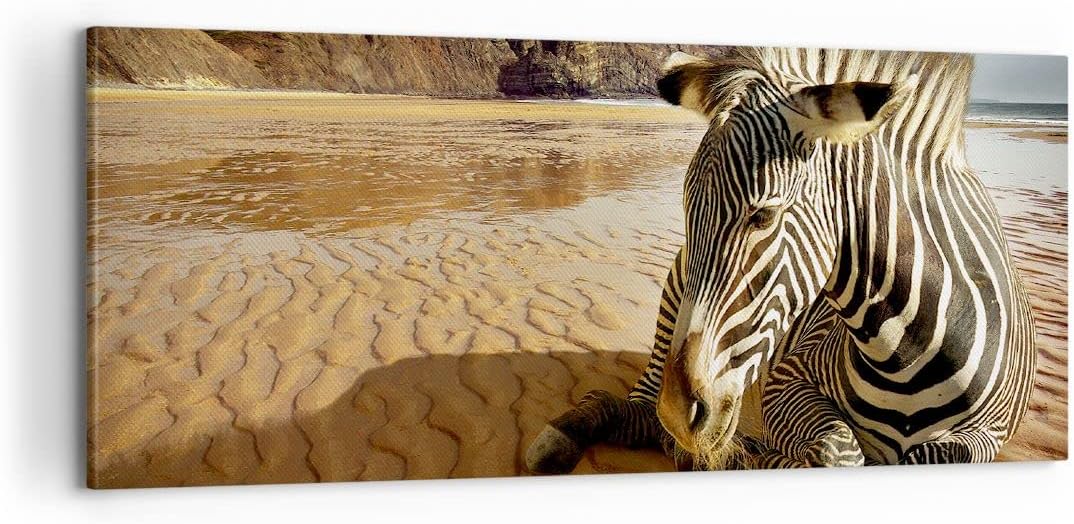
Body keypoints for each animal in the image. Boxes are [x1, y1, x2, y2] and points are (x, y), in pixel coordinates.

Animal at [525, 47, 1037, 472]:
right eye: (688, 208)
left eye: (763, 216)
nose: (680, 413)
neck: (909, 351)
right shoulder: (788, 379)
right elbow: (835, 451)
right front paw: (743, 457)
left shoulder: (987, 436)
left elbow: (926, 454)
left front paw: (738, 455)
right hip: (673, 304)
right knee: (637, 409)